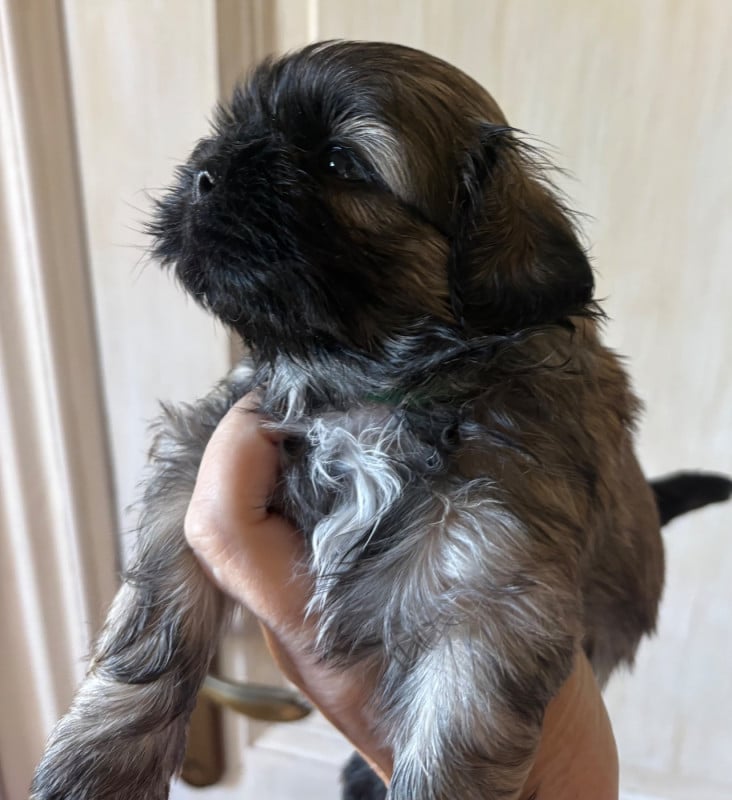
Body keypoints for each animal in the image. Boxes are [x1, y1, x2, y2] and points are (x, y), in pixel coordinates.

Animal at [31, 41, 731, 800]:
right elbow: (153, 622)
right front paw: (99, 763)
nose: (206, 175)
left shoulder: (488, 594)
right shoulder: (197, 459)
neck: (364, 394)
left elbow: (450, 753)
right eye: (235, 129)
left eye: (342, 163)